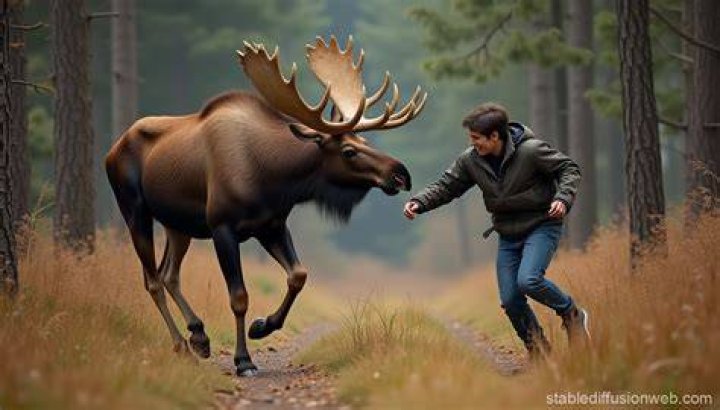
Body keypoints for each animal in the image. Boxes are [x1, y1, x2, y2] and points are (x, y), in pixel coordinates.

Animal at [105, 36, 427, 376]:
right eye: (349, 151)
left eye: (366, 143)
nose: (401, 174)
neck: (274, 178)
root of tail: (111, 150)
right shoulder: (222, 227)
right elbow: (239, 297)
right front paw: (243, 359)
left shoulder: (271, 225)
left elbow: (298, 274)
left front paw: (261, 326)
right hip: (135, 210)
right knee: (152, 279)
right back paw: (182, 345)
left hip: (178, 225)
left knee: (169, 274)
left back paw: (199, 336)